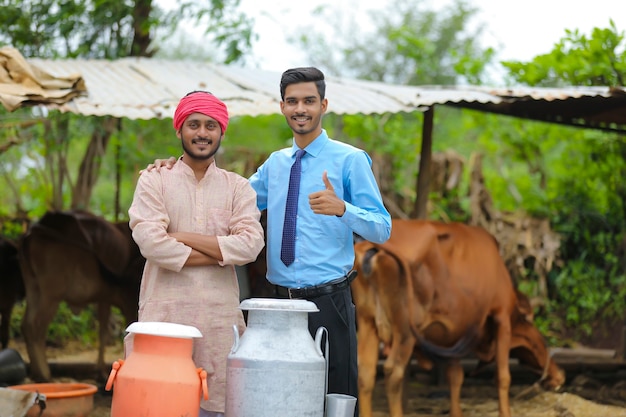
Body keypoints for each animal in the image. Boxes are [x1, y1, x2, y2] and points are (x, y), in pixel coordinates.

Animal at [18, 210, 144, 382]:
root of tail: (34, 231)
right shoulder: (122, 299)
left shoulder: (106, 297)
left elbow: (103, 329)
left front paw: (100, 370)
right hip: (52, 293)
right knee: (36, 326)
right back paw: (43, 374)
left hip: (33, 287)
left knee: (26, 324)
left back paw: (37, 371)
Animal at [354, 219, 564, 416]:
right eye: (542, 340)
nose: (559, 376)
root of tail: (372, 246)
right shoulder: (501, 316)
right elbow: (503, 377)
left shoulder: (454, 332)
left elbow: (455, 376)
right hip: (405, 329)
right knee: (392, 372)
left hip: (367, 321)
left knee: (365, 373)